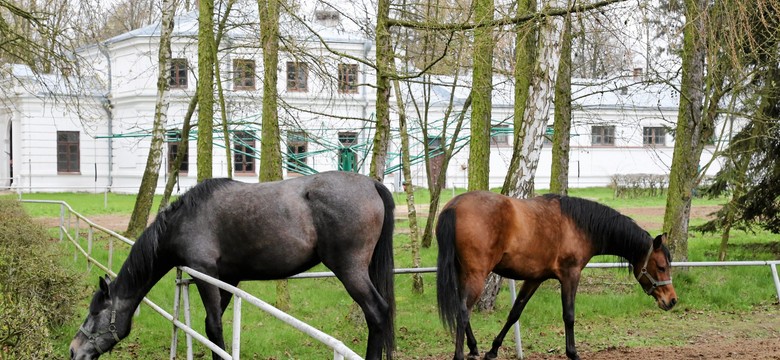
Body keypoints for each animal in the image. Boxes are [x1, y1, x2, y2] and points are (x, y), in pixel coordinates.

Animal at [69, 172, 394, 360]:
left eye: (95, 313)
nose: (73, 350)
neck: (183, 220)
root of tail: (372, 183)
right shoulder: (228, 280)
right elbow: (210, 326)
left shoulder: (206, 275)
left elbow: (213, 328)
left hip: (350, 270)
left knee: (377, 312)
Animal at [436, 194, 680, 360]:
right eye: (661, 266)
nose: (672, 300)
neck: (578, 225)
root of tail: (455, 206)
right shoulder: (571, 275)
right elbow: (569, 315)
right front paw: (573, 352)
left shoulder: (534, 279)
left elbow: (515, 313)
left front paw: (493, 350)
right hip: (477, 275)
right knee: (463, 312)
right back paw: (460, 354)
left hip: (462, 274)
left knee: (461, 309)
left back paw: (474, 347)